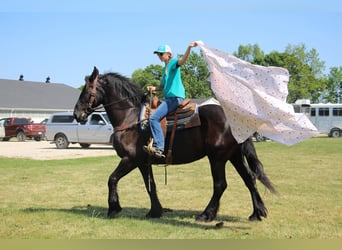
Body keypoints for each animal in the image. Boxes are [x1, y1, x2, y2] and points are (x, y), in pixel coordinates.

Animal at [73, 66, 276, 221]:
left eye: (87, 91)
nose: (77, 114)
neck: (131, 119)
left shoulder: (130, 159)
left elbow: (112, 179)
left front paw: (114, 208)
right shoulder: (143, 162)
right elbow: (151, 185)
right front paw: (155, 211)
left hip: (217, 158)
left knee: (220, 185)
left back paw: (206, 214)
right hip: (234, 156)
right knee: (249, 179)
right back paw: (257, 213)